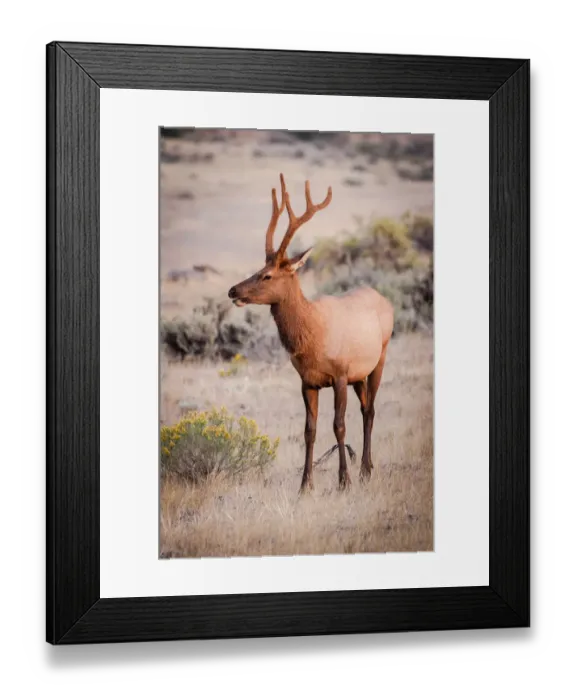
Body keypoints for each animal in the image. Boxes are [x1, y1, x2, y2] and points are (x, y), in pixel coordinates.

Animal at [228, 174, 394, 494]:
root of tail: (385, 300)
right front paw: (305, 485)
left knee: (370, 410)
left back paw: (364, 470)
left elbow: (338, 425)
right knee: (366, 407)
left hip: (379, 357)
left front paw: (344, 481)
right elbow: (310, 430)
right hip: (359, 375)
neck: (311, 339)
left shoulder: (340, 374)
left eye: (267, 275)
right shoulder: (307, 382)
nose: (233, 291)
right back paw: (365, 468)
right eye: (258, 268)